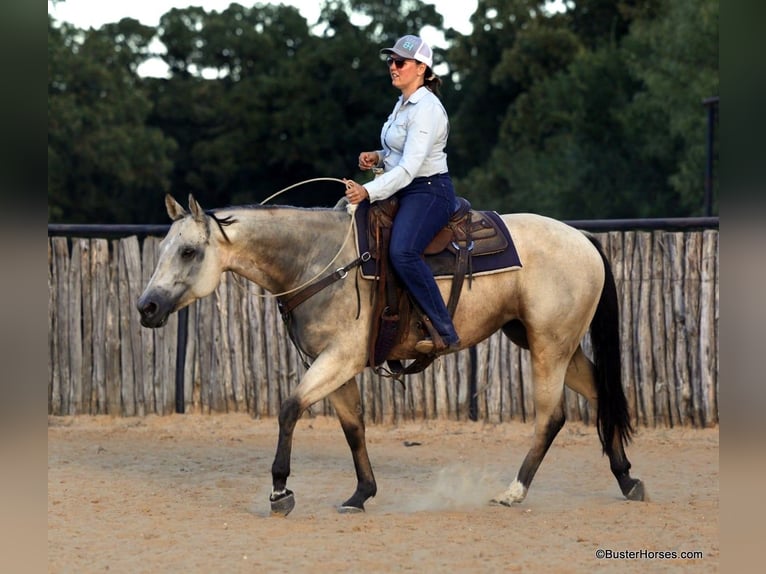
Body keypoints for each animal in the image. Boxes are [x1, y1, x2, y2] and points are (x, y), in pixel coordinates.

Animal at [137, 193, 645, 516]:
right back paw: (627, 480)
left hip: (549, 345)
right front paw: (361, 493)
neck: (320, 261)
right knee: (599, 395)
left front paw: (280, 491)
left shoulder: (340, 358)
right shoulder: (335, 365)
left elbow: (289, 408)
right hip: (550, 341)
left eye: (189, 251)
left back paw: (514, 492)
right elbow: (353, 426)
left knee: (551, 416)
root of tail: (583, 239)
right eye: (163, 248)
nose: (147, 307)